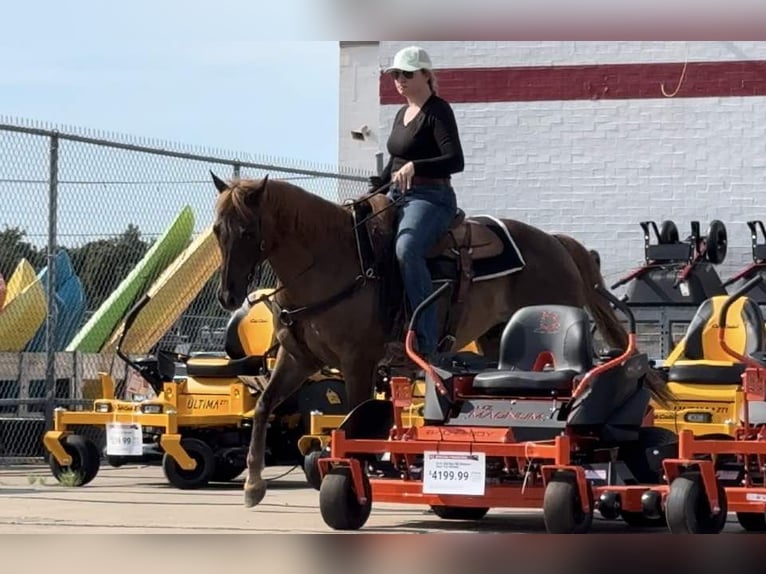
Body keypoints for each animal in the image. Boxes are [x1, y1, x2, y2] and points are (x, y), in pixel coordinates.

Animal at [212, 173, 672, 506]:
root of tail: (558, 243)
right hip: (498, 342)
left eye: (248, 231)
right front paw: (254, 485)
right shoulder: (298, 358)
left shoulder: (358, 362)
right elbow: (265, 406)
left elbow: (356, 415)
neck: (333, 259)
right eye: (218, 230)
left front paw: (366, 471)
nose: (228, 296)